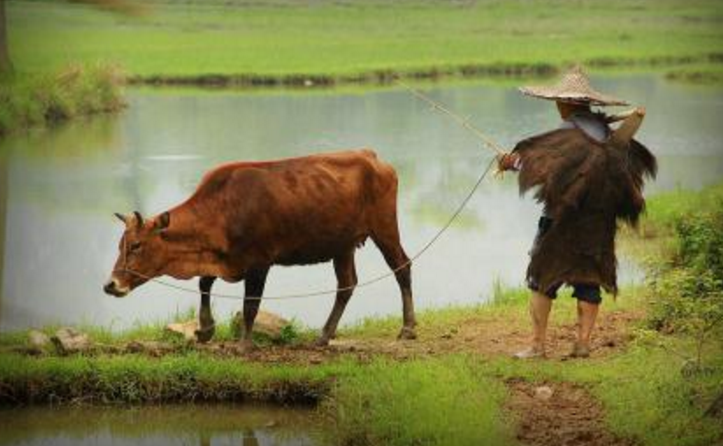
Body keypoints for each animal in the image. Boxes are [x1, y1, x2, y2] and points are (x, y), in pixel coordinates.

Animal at [104, 152, 416, 346]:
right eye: (120, 244)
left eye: (136, 245)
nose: (110, 284)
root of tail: (371, 156)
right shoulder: (224, 259)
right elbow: (204, 283)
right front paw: (205, 330)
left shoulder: (259, 261)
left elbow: (250, 305)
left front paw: (244, 344)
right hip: (343, 245)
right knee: (346, 284)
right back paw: (324, 335)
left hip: (384, 227)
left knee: (402, 267)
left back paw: (408, 328)